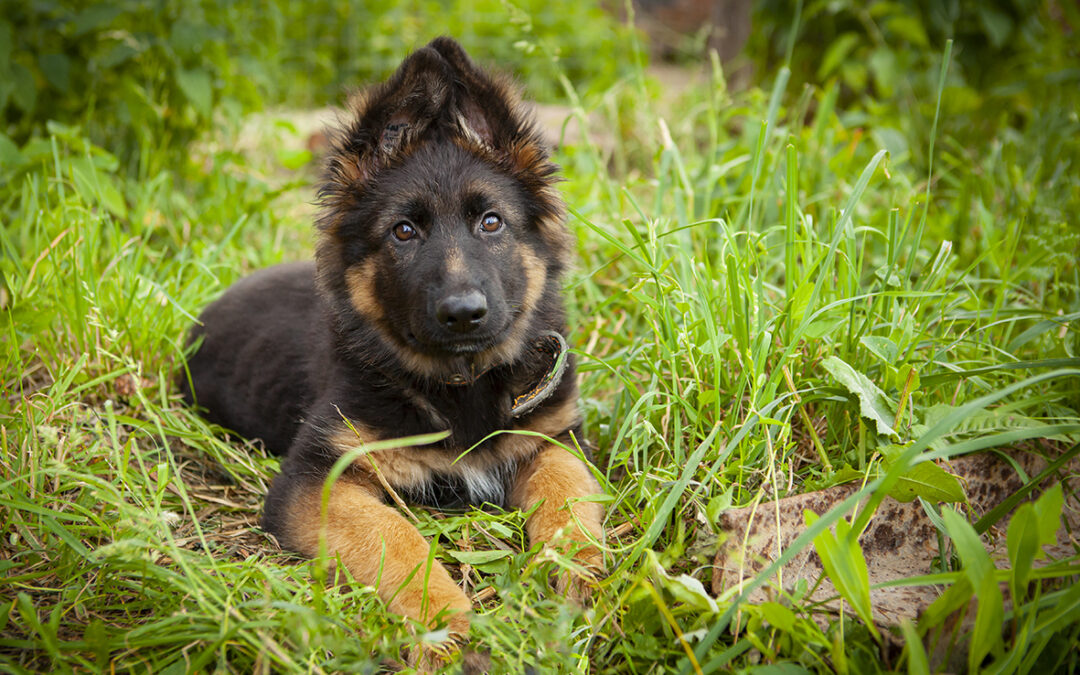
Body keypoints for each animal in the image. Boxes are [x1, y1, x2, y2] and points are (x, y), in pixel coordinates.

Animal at [185, 39, 609, 639]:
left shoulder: (557, 439)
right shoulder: (316, 481)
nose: (464, 314)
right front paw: (442, 619)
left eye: (491, 222)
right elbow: (393, 536)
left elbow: (565, 494)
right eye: (403, 232)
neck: (459, 390)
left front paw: (575, 569)